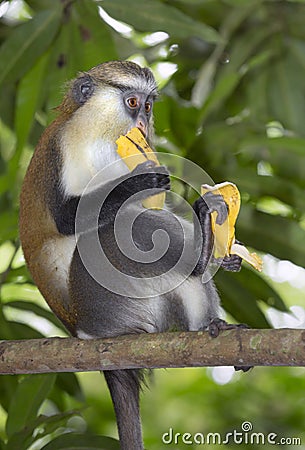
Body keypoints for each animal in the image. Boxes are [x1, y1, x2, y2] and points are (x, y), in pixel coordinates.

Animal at [19, 60, 242, 450]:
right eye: (133, 102)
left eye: (149, 106)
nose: (141, 125)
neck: (99, 132)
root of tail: (81, 331)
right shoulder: (66, 144)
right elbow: (67, 217)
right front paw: (142, 180)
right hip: (101, 301)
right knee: (120, 226)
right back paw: (201, 257)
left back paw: (207, 320)